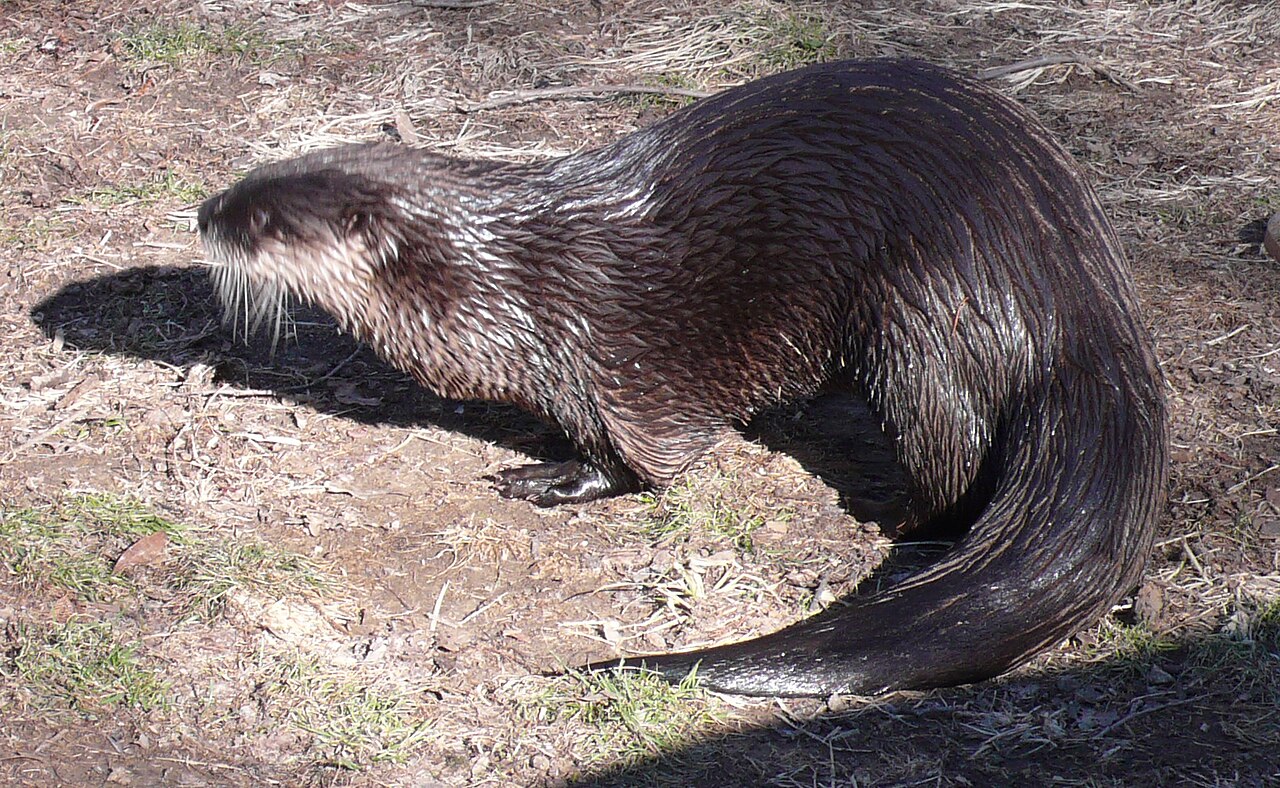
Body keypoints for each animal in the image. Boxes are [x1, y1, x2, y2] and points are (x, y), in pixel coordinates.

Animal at [196, 58, 1168, 697]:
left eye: (266, 219)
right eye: (249, 179)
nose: (205, 211)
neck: (490, 280)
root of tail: (1080, 298)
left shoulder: (605, 356)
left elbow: (645, 458)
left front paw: (553, 480)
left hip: (924, 312)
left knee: (951, 453)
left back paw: (898, 523)